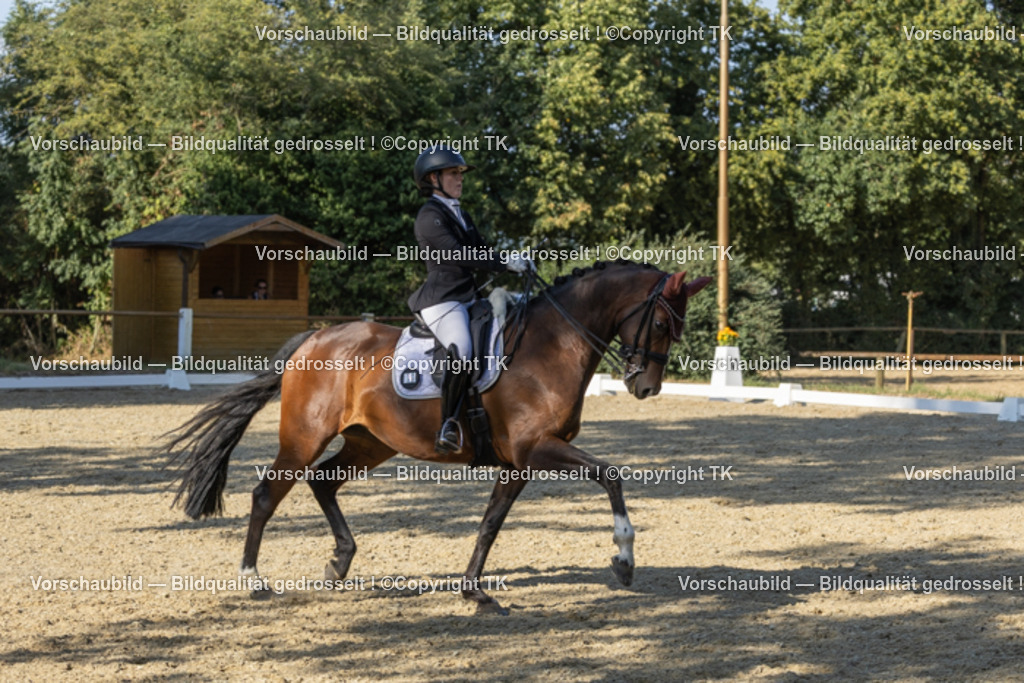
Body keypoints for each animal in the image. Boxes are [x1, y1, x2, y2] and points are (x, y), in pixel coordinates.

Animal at [167, 260, 712, 614]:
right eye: (659, 322)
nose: (645, 387)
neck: (552, 345)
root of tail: (315, 337)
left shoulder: (518, 463)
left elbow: (490, 524)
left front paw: (474, 591)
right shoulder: (537, 449)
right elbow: (611, 474)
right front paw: (623, 558)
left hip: (370, 442)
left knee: (323, 482)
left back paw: (339, 564)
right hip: (304, 438)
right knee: (267, 493)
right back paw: (252, 580)